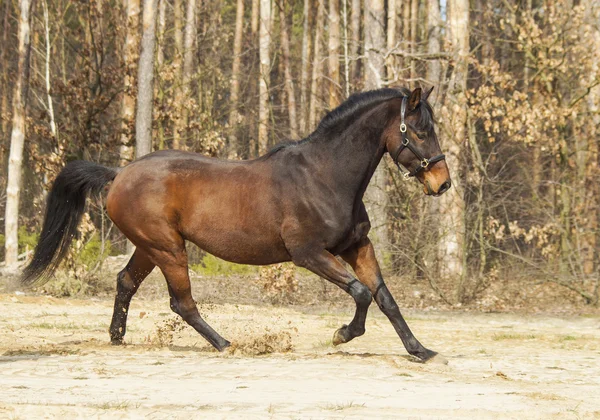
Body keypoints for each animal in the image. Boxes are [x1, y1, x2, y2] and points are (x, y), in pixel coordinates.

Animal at [22, 87, 450, 362]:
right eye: (421, 130)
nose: (442, 183)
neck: (324, 175)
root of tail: (118, 175)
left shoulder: (356, 245)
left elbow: (384, 297)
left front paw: (420, 351)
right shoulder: (309, 254)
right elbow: (362, 293)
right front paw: (341, 335)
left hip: (150, 247)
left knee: (126, 282)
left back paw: (117, 337)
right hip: (167, 248)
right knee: (182, 302)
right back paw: (225, 344)